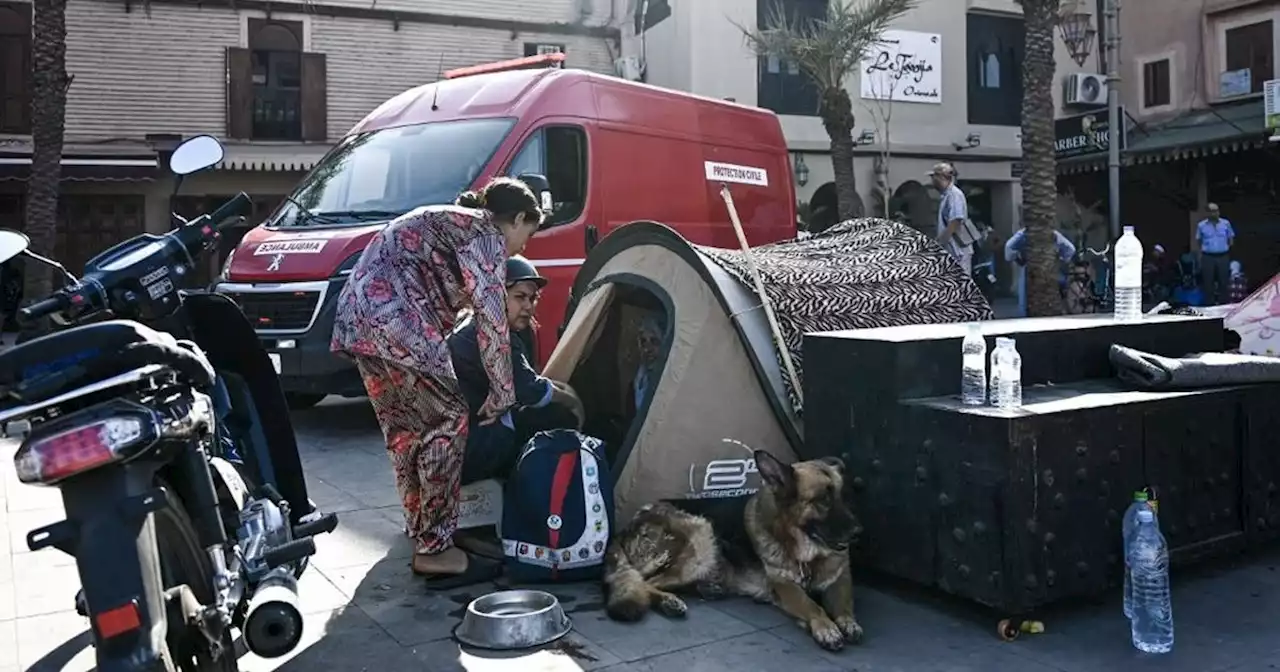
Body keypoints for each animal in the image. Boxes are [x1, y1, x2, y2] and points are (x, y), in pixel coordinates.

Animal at [599, 450, 860, 650]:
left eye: (844, 497)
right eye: (823, 500)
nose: (858, 531)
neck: (806, 554)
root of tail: (631, 522)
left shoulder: (841, 578)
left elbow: (844, 603)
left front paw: (847, 622)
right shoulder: (785, 586)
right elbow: (810, 604)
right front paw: (826, 627)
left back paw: (707, 589)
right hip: (702, 535)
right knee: (645, 582)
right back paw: (669, 601)